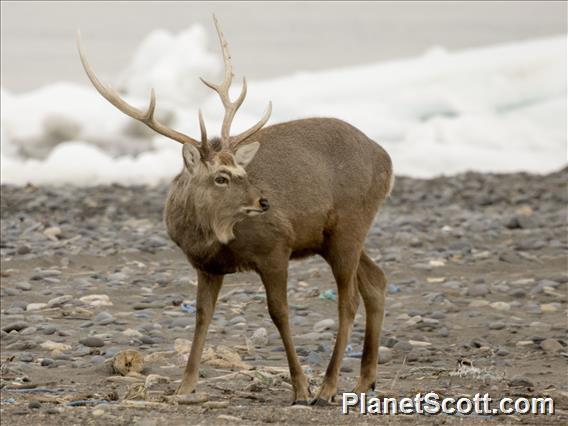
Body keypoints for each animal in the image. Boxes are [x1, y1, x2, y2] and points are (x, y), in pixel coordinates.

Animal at [77, 15, 392, 404]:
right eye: (222, 177)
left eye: (243, 172)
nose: (264, 201)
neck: (212, 237)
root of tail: (387, 160)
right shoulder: (206, 267)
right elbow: (202, 316)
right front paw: (185, 385)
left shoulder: (276, 247)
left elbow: (279, 313)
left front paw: (300, 387)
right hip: (333, 236)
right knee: (375, 281)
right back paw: (364, 382)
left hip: (349, 224)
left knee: (348, 302)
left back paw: (328, 387)